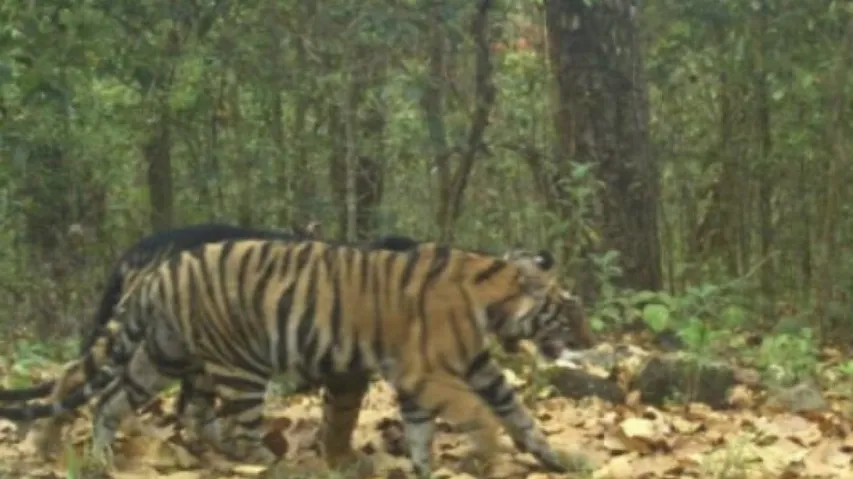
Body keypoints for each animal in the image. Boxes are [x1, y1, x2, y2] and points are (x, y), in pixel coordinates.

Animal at [0, 239, 594, 477]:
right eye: (568, 313)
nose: (588, 342)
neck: (492, 303)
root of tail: (157, 272)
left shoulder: (466, 370)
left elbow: (511, 417)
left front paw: (561, 459)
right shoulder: (427, 372)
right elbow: (479, 416)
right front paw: (486, 456)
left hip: (162, 356)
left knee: (110, 402)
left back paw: (101, 461)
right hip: (240, 367)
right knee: (239, 432)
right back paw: (278, 466)